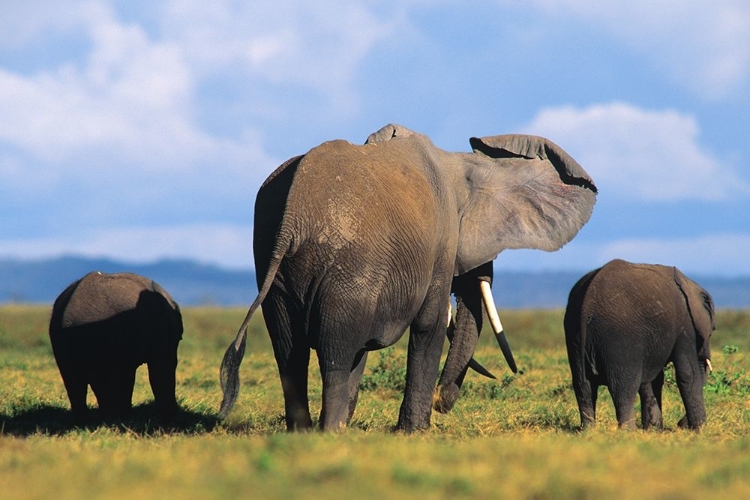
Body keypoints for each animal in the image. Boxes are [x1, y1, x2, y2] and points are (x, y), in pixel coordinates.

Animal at [219, 123, 600, 432]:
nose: (442, 403)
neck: (458, 163)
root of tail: (293, 215)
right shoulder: (440, 241)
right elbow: (430, 323)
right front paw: (414, 431)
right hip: (348, 264)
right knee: (336, 351)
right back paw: (329, 433)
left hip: (275, 266)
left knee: (290, 350)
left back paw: (309, 432)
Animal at [564, 258, 716, 430]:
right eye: (712, 330)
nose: (680, 424)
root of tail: (586, 307)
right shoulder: (686, 327)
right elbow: (688, 374)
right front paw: (699, 430)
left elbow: (653, 379)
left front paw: (653, 430)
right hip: (619, 338)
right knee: (623, 388)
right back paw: (628, 431)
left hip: (574, 334)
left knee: (583, 386)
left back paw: (589, 431)